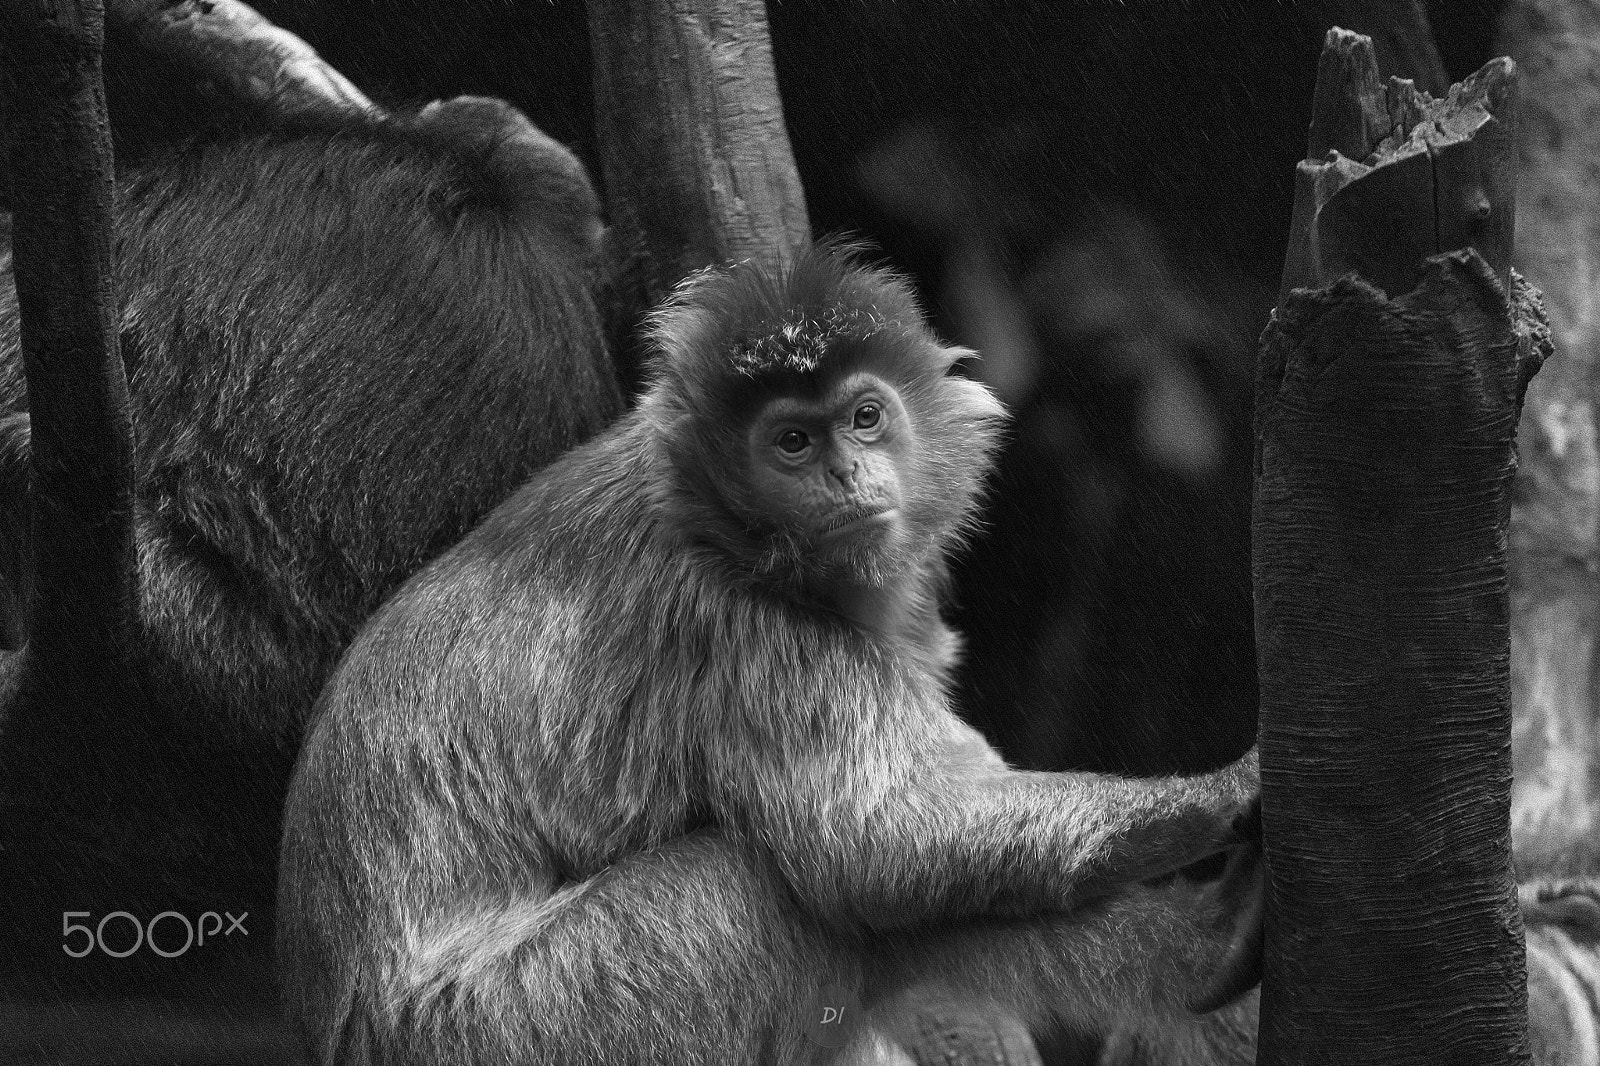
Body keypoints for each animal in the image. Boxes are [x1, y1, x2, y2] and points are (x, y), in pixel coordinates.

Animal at [278, 242, 1262, 1065]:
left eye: (865, 418)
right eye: (792, 441)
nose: (844, 474)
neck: (718, 523)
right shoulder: (734, 627)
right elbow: (886, 848)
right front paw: (1221, 797)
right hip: (532, 1022)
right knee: (771, 885)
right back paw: (1195, 952)